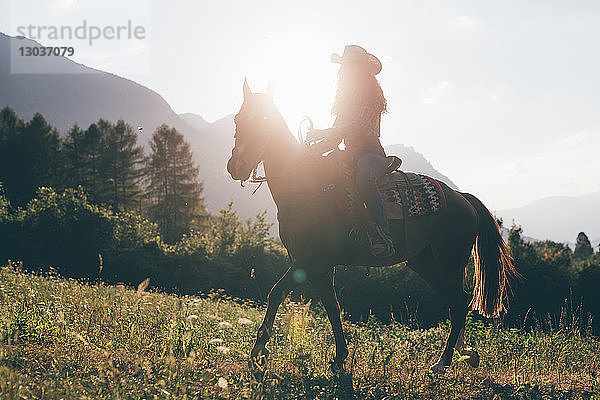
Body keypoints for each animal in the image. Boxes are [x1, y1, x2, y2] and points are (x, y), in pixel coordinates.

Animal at [227, 79, 516, 376]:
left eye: (263, 121)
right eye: (238, 119)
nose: (236, 166)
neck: (306, 185)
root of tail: (462, 198)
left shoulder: (310, 259)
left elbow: (276, 293)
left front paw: (258, 353)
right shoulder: (318, 267)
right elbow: (332, 307)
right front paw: (340, 358)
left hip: (450, 262)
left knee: (458, 304)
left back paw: (443, 362)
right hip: (424, 263)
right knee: (454, 303)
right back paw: (464, 354)